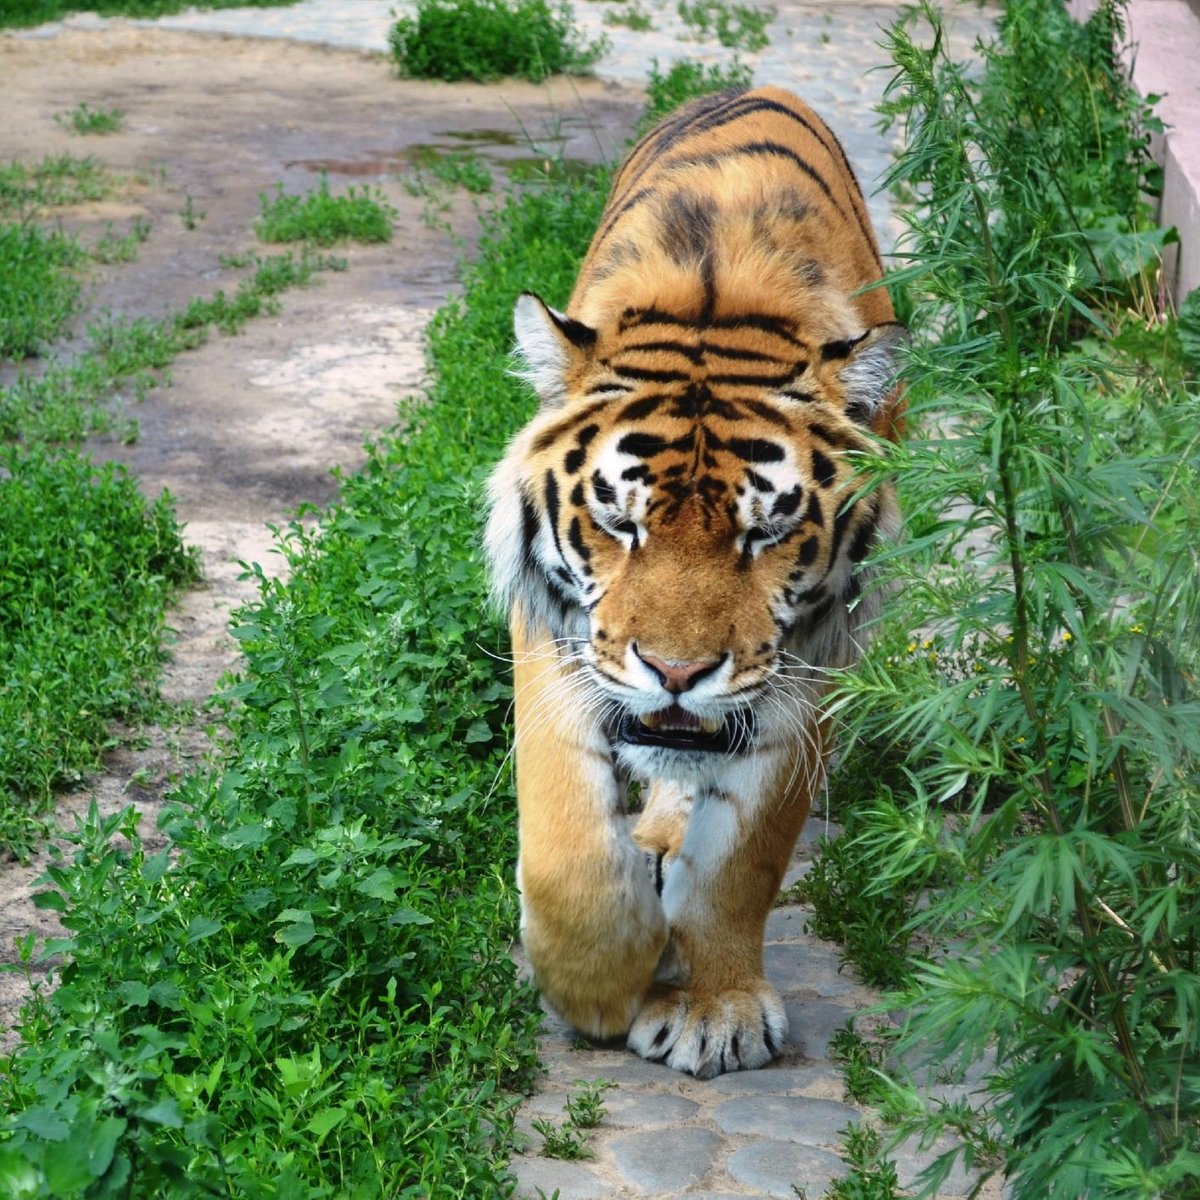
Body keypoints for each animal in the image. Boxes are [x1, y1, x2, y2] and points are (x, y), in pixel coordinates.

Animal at [482, 84, 902, 1080]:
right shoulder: (558, 627)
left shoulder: (809, 660)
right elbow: (562, 846)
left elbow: (742, 861)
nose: (676, 674)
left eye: (767, 532)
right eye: (620, 522)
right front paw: (603, 988)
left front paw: (715, 1009)